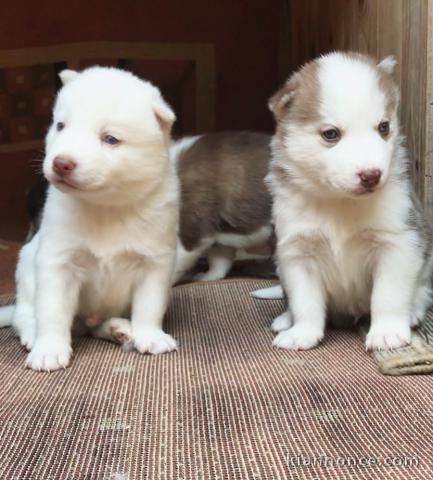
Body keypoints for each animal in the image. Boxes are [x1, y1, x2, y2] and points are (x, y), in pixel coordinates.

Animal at [0, 65, 178, 370]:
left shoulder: (155, 263)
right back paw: (33, 335)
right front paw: (49, 349)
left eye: (110, 139)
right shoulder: (57, 262)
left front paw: (150, 336)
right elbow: (52, 312)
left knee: (97, 327)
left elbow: (149, 306)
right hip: (26, 275)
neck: (106, 206)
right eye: (61, 126)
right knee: (24, 317)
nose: (61, 163)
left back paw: (119, 329)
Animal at [253, 52, 432, 350]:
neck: (340, 202)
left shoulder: (397, 244)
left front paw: (387, 332)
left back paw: (414, 311)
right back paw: (285, 319)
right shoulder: (298, 252)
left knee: (421, 290)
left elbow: (388, 296)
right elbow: (305, 301)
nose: (371, 175)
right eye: (331, 134)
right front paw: (302, 332)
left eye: (384, 127)